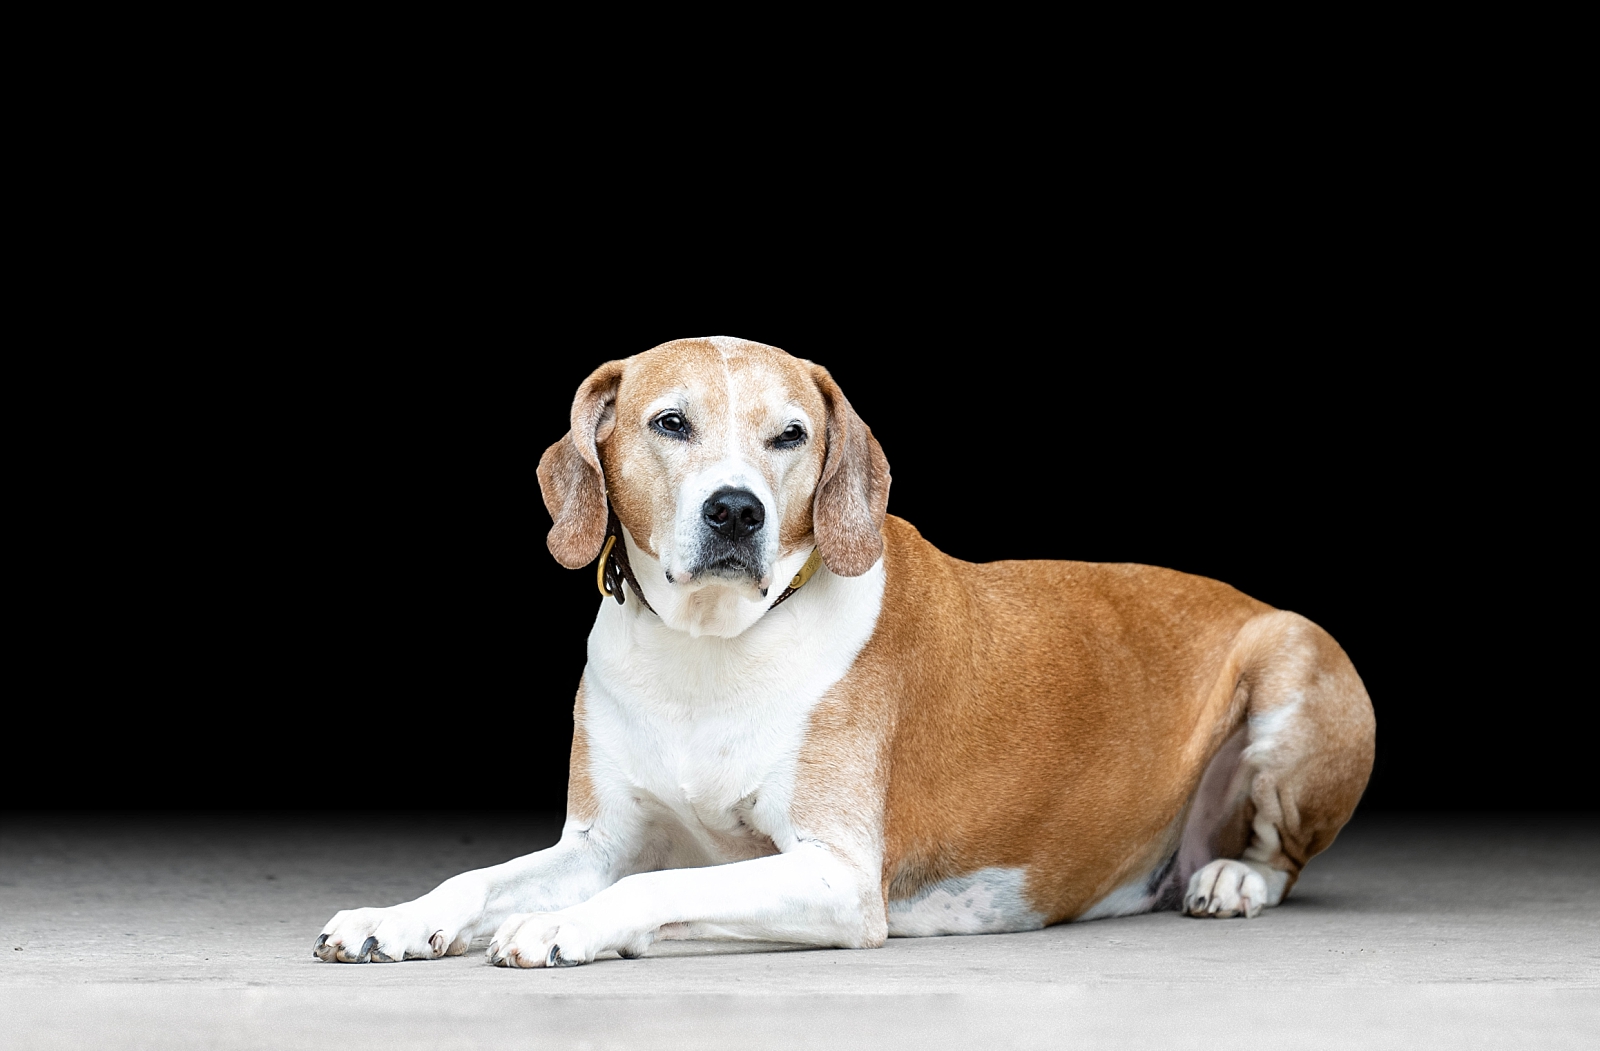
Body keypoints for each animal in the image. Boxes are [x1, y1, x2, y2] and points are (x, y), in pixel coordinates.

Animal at [312, 335, 1376, 966]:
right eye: (670, 422)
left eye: (790, 435)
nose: (736, 510)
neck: (714, 644)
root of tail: (1249, 595)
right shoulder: (597, 840)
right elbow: (486, 877)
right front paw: (394, 915)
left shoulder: (835, 876)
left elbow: (663, 882)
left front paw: (567, 922)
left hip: (1292, 659)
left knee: (1283, 855)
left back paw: (1233, 878)